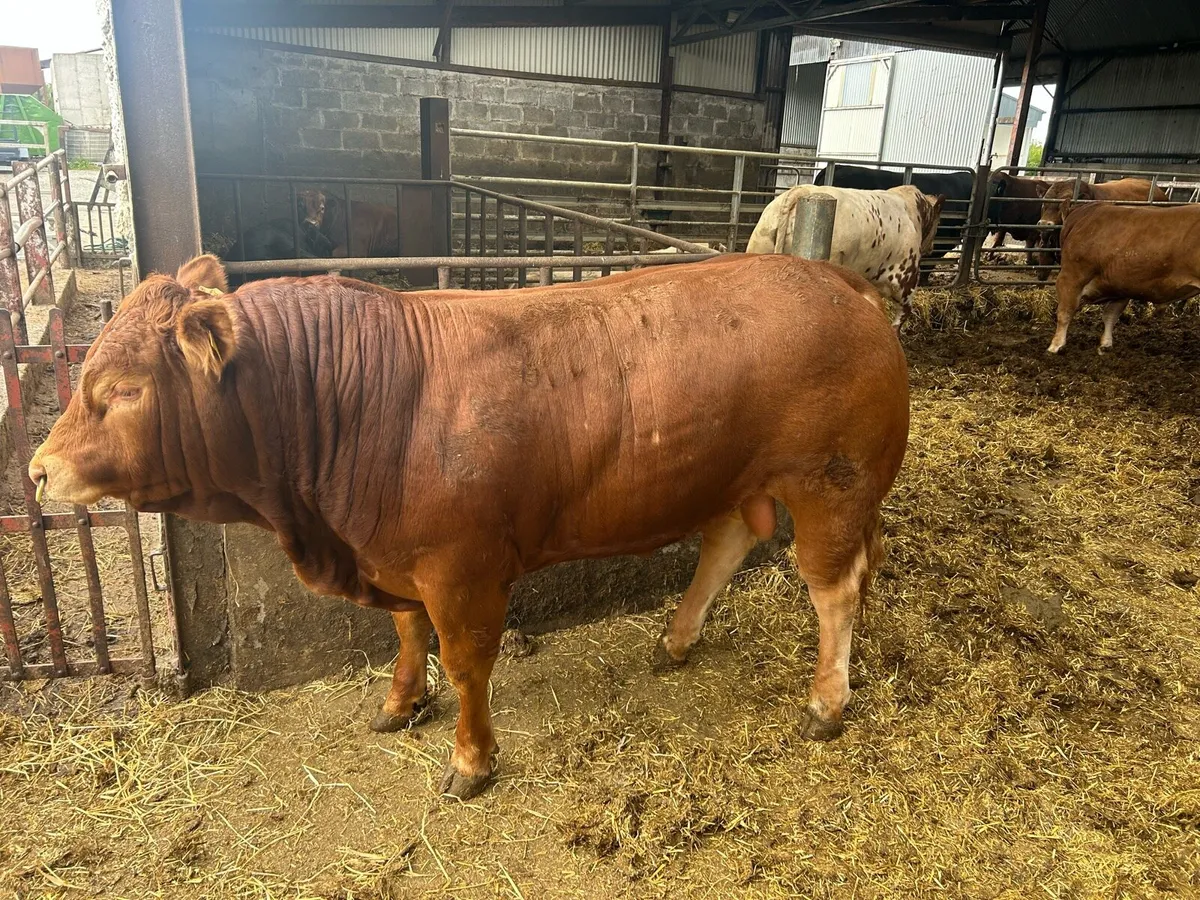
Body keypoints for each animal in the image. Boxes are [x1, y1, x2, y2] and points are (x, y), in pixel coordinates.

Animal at [29, 253, 910, 801]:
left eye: (123, 388)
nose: (36, 470)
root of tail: (842, 280)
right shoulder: (394, 554)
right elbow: (406, 632)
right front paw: (399, 702)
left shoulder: (461, 566)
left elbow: (464, 661)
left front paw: (471, 760)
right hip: (738, 478)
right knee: (729, 545)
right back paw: (676, 639)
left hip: (831, 483)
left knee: (835, 587)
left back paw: (826, 701)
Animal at [746, 184, 944, 329]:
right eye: (938, 221)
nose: (932, 247)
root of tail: (802, 190)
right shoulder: (905, 278)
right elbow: (901, 318)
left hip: (760, 242)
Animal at [1048, 202, 1200, 354]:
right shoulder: (1120, 286)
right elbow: (1110, 315)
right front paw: (1106, 344)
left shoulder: (1070, 277)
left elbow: (1064, 313)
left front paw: (1055, 346)